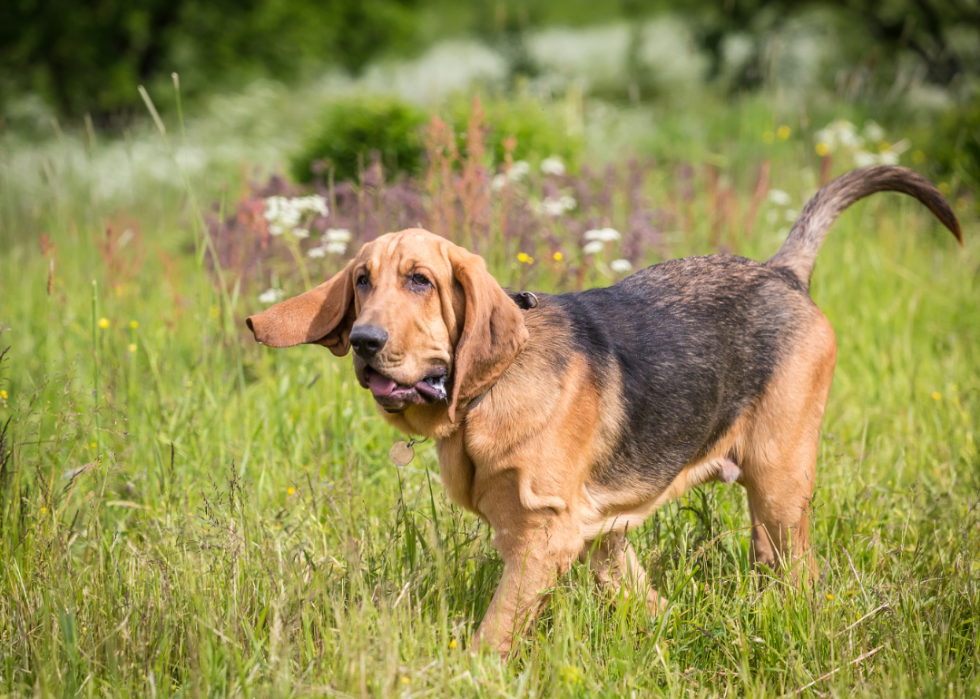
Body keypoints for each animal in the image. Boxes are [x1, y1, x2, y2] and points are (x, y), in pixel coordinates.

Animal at [245, 167, 956, 660]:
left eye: (420, 280)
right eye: (362, 279)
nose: (365, 342)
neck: (483, 395)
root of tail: (782, 272)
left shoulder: (543, 536)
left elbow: (493, 635)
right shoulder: (567, 530)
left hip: (778, 485)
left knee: (796, 573)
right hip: (650, 526)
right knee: (674, 589)